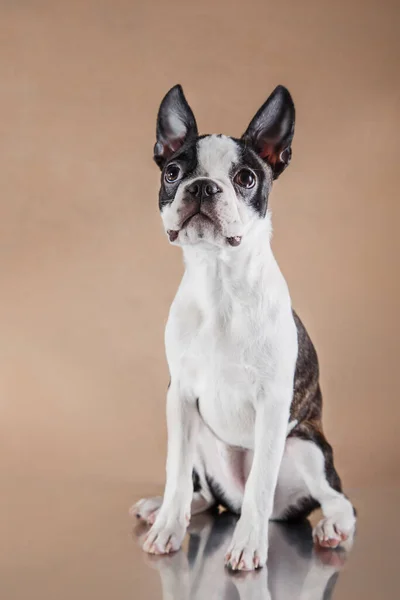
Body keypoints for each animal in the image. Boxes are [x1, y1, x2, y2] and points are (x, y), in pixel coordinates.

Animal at [132, 84, 356, 572]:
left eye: (246, 179)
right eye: (173, 172)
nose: (202, 186)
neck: (219, 281)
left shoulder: (273, 403)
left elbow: (260, 485)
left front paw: (249, 545)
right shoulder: (180, 398)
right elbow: (176, 473)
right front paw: (168, 527)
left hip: (306, 447)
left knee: (334, 499)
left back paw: (331, 527)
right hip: (202, 436)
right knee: (200, 492)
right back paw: (163, 509)